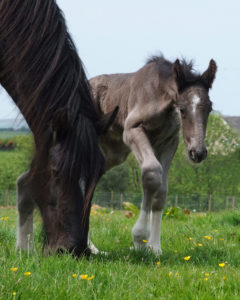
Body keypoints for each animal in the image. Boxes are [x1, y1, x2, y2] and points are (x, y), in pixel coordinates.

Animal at [90, 55, 218, 254]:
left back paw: (92, 248)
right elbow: (151, 173)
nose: (197, 152)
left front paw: (155, 246)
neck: (160, 98)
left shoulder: (169, 142)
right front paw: (139, 238)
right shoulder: (132, 131)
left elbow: (162, 190)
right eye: (182, 109)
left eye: (209, 108)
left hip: (112, 154)